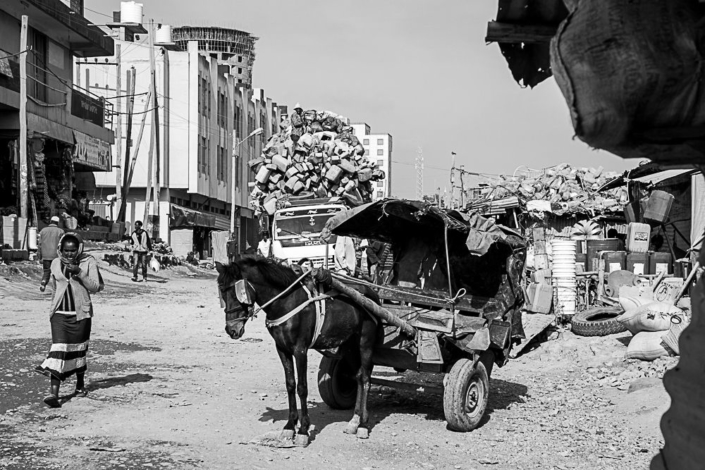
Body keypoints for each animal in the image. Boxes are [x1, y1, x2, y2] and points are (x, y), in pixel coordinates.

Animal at [216, 255, 382, 446]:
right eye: (221, 292)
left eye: (237, 293)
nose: (231, 329)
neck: (286, 301)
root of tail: (371, 293)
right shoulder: (282, 349)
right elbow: (290, 385)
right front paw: (290, 426)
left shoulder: (300, 350)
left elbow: (302, 387)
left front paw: (303, 430)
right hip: (349, 344)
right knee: (358, 376)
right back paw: (354, 421)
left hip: (365, 342)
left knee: (365, 378)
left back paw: (363, 425)